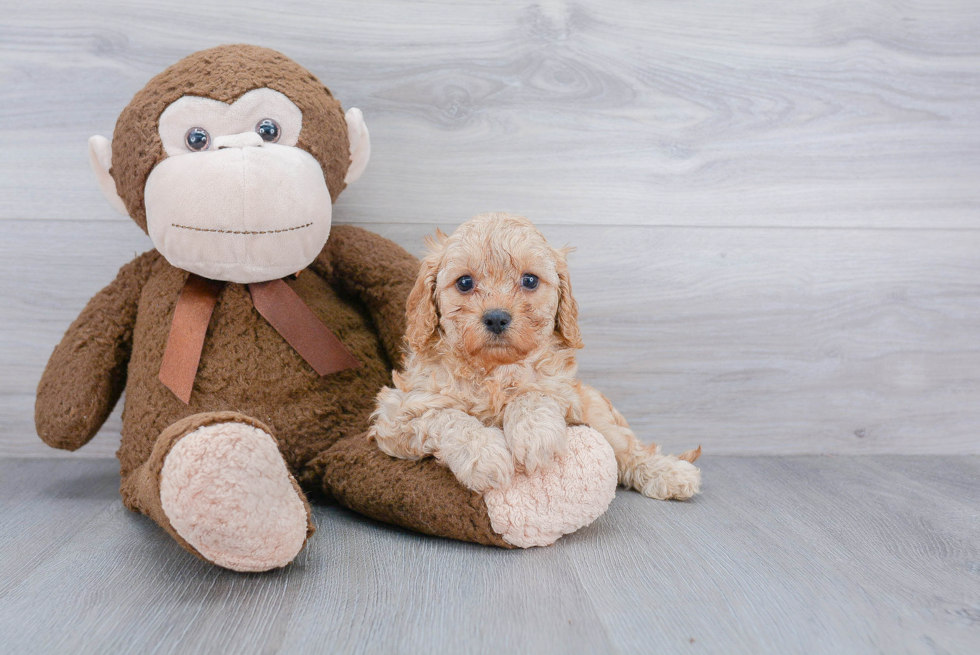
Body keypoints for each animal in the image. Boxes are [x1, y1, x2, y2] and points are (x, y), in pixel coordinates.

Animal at [370, 213, 704, 500]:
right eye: (464, 282)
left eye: (530, 280)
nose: (496, 317)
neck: (494, 371)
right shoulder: (397, 415)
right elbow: (447, 416)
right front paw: (484, 455)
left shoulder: (563, 391)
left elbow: (534, 394)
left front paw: (533, 436)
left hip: (596, 411)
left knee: (628, 450)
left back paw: (670, 473)